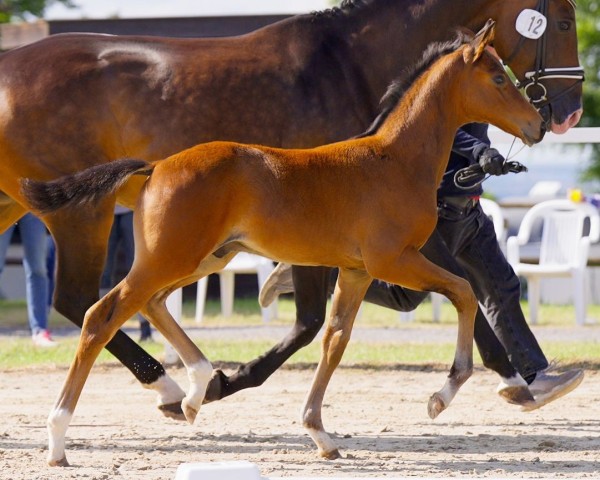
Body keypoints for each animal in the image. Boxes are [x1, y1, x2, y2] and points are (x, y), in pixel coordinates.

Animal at [0, 0, 580, 412]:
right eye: (498, 77)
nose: (548, 120)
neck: (390, 155)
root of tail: (154, 167)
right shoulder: (391, 258)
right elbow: (460, 292)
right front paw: (451, 390)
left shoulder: (360, 266)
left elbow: (333, 333)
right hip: (111, 230)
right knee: (93, 307)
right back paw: (131, 404)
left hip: (194, 254)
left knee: (144, 304)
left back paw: (194, 383)